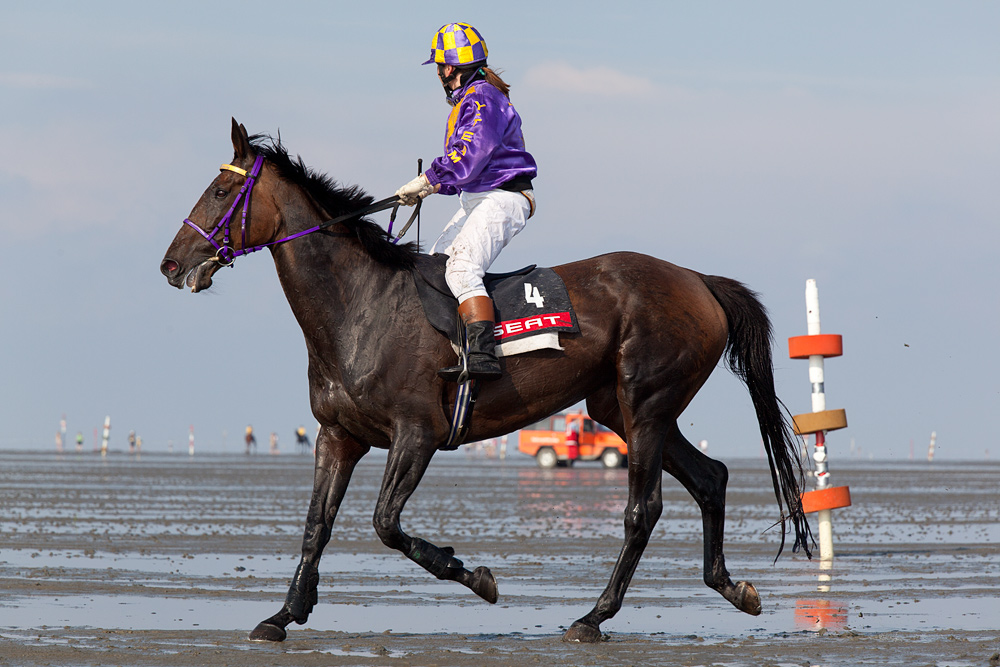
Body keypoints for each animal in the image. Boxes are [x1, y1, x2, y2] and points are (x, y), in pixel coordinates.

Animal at [160, 118, 808, 640]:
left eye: (220, 190)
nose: (171, 264)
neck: (361, 305)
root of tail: (698, 280)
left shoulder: (417, 434)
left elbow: (385, 524)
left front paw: (474, 575)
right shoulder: (336, 435)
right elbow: (316, 525)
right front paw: (284, 614)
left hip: (644, 405)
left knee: (641, 510)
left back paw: (593, 617)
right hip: (620, 410)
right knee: (711, 478)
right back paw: (733, 588)